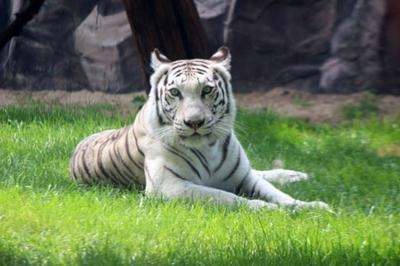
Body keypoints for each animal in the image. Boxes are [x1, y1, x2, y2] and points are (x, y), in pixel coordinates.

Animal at [71, 47, 328, 210]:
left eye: (207, 90)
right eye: (175, 92)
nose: (194, 122)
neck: (208, 147)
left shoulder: (244, 176)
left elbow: (279, 195)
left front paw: (311, 207)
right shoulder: (169, 186)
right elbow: (226, 197)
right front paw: (265, 209)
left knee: (261, 172)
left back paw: (297, 175)